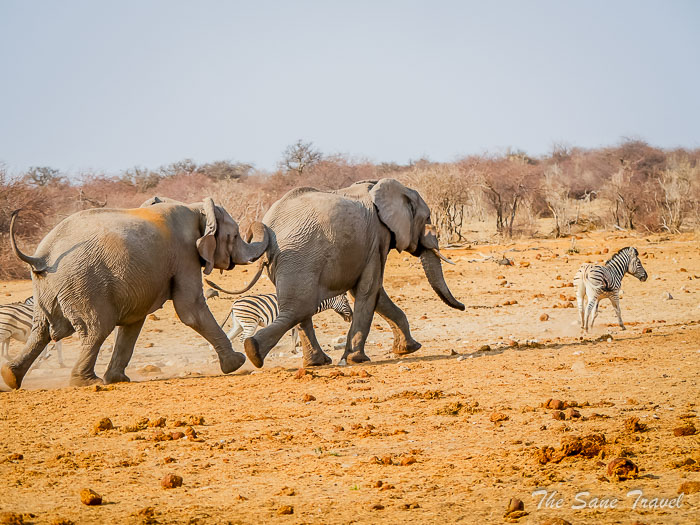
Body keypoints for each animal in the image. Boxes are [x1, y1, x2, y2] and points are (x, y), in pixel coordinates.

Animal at [1, 197, 268, 389]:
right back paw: (87, 382)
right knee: (96, 329)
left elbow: (134, 321)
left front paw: (118, 379)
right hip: (82, 284)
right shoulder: (185, 255)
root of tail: (42, 257)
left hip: (47, 288)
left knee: (40, 331)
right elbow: (189, 309)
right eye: (235, 236)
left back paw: (11, 377)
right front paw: (237, 363)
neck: (197, 208)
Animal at [207, 178, 464, 369]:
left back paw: (313, 362)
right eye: (427, 218)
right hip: (301, 257)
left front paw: (409, 349)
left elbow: (375, 294)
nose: (463, 307)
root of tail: (268, 230)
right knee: (300, 307)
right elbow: (368, 290)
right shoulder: (377, 238)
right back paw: (255, 352)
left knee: (298, 309)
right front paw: (356, 359)